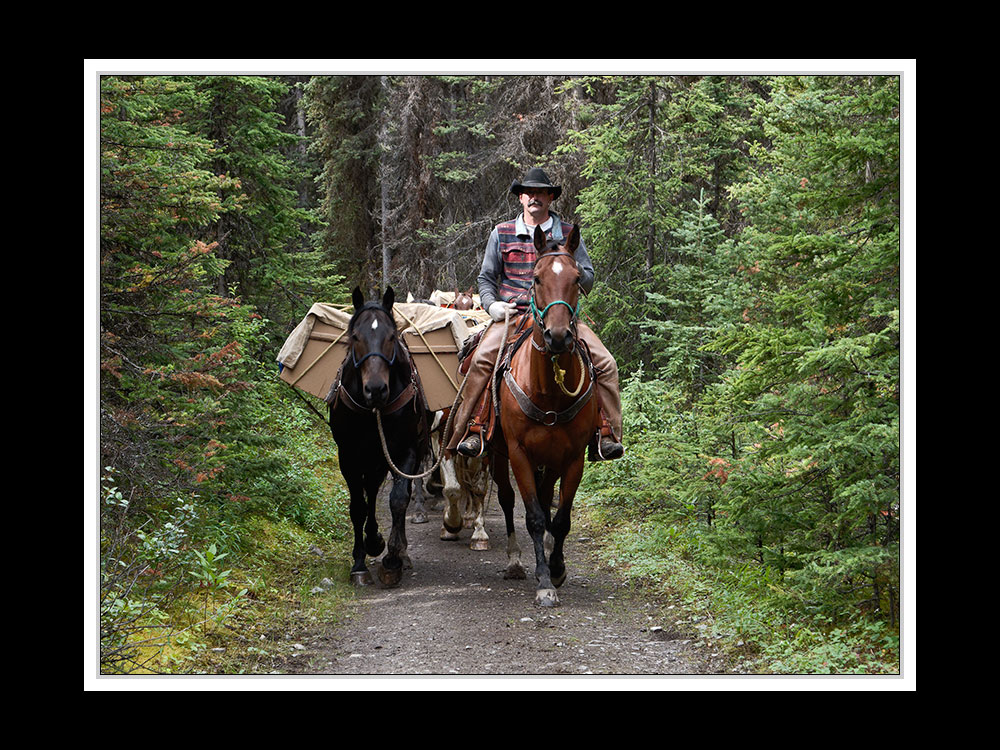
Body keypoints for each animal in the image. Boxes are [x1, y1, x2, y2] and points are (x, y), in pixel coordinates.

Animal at [328, 286, 430, 588]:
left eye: (391, 337)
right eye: (355, 337)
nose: (376, 389)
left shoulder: (405, 451)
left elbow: (398, 500)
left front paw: (392, 560)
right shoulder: (348, 456)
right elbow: (358, 507)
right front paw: (359, 563)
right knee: (370, 493)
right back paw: (372, 541)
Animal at [488, 225, 596, 612]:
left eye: (577, 279)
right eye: (535, 278)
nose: (559, 336)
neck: (547, 389)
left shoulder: (574, 456)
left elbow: (561, 518)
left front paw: (558, 569)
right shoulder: (518, 453)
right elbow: (533, 516)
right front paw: (544, 583)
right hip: (496, 454)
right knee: (507, 500)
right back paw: (515, 561)